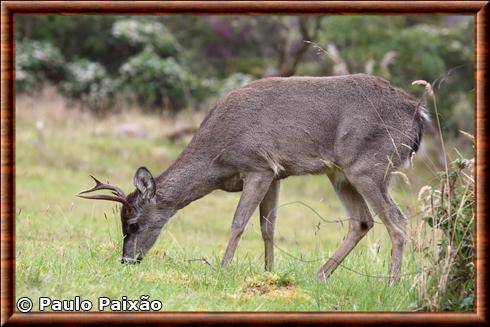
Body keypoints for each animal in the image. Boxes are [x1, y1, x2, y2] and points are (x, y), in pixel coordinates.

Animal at [78, 73, 426, 284]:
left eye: (133, 224)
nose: (127, 260)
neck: (218, 159)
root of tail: (418, 114)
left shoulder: (258, 166)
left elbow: (238, 223)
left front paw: (223, 268)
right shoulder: (277, 173)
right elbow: (267, 227)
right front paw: (269, 273)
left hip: (369, 165)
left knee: (397, 221)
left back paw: (393, 284)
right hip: (340, 173)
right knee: (362, 221)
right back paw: (319, 276)